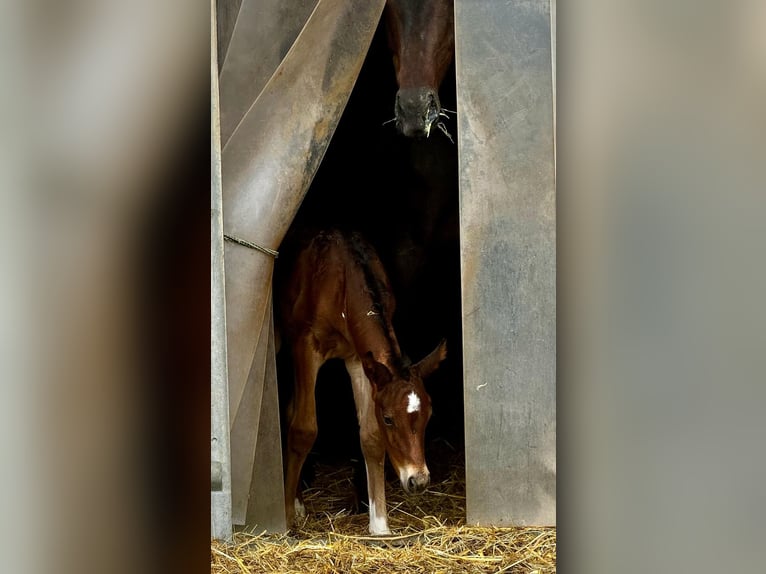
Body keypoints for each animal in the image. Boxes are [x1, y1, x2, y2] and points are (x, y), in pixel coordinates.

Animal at [280, 230, 448, 536]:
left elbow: (370, 436)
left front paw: (380, 525)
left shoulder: (359, 359)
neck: (342, 280)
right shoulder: (305, 345)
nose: (418, 480)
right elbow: (303, 429)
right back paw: (295, 503)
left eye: (430, 416)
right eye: (389, 419)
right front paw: (286, 516)